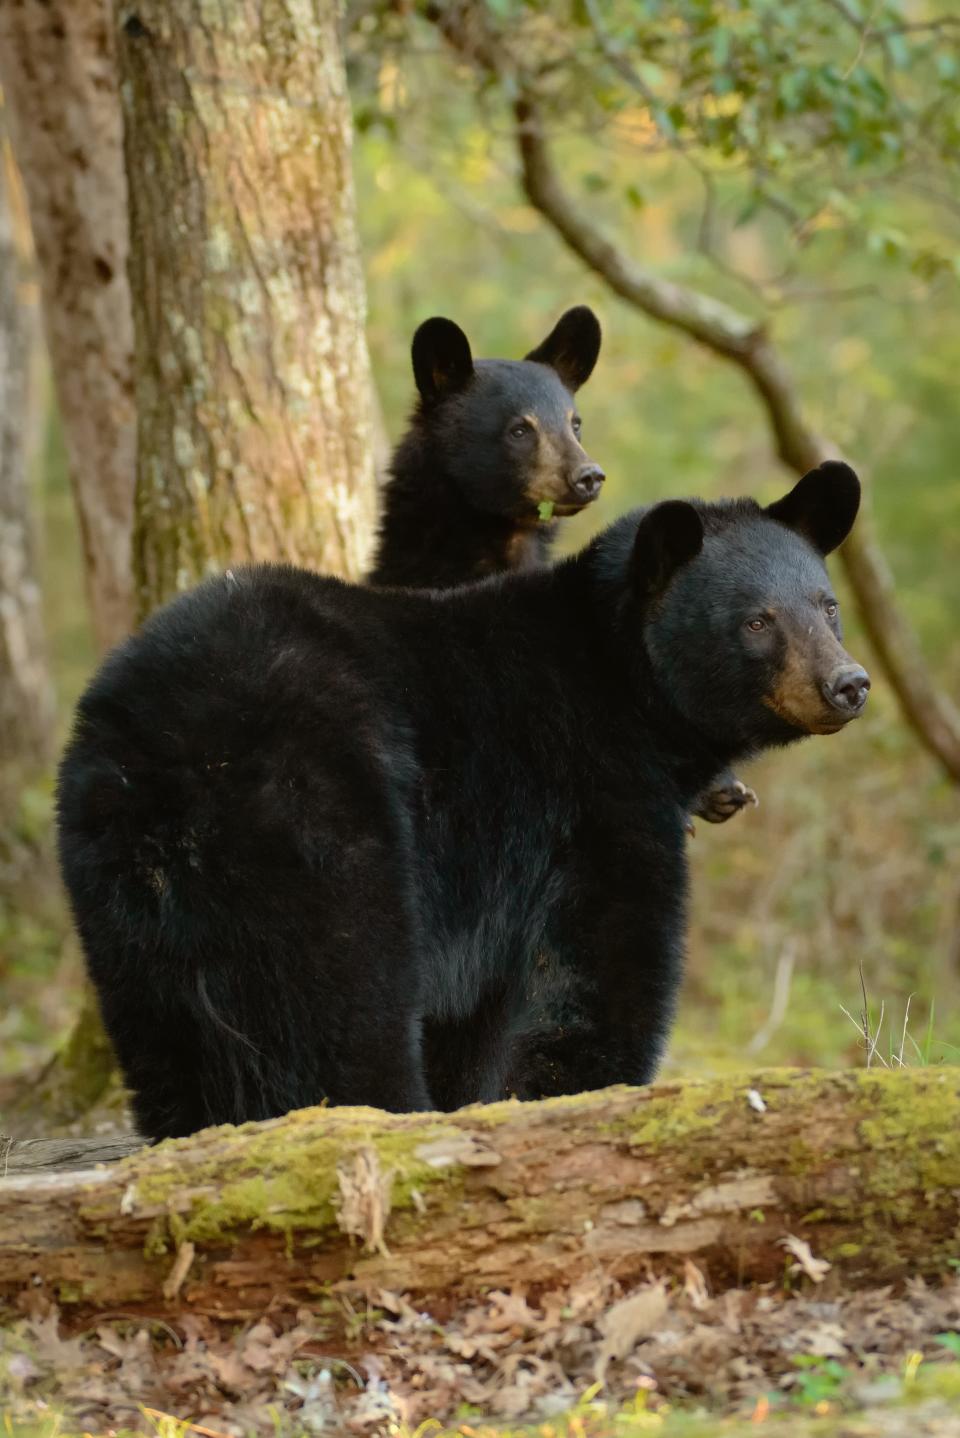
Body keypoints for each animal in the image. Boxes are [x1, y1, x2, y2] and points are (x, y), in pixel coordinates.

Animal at [60, 460, 868, 1133]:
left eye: (827, 605)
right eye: (758, 620)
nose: (848, 683)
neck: (620, 678)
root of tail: (172, 745)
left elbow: (478, 1017)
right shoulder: (588, 792)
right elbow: (605, 963)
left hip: (114, 873)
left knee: (168, 1033)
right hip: (315, 811)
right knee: (343, 996)